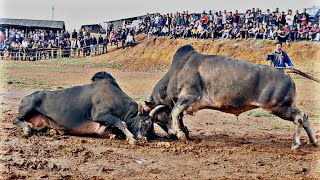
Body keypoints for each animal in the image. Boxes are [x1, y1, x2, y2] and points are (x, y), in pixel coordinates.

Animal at [146, 44, 320, 149]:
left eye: (158, 119)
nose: (170, 135)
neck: (177, 72)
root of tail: (283, 70)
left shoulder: (190, 95)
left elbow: (175, 112)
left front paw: (180, 134)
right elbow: (178, 115)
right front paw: (183, 131)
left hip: (280, 107)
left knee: (300, 117)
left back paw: (296, 144)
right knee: (304, 117)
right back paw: (314, 142)